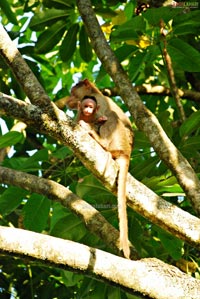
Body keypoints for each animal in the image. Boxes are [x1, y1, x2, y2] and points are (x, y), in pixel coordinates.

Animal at [66, 79, 134, 260]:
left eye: (73, 93)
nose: (68, 99)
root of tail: (127, 153)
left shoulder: (100, 104)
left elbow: (105, 117)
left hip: (118, 141)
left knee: (112, 118)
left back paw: (101, 142)